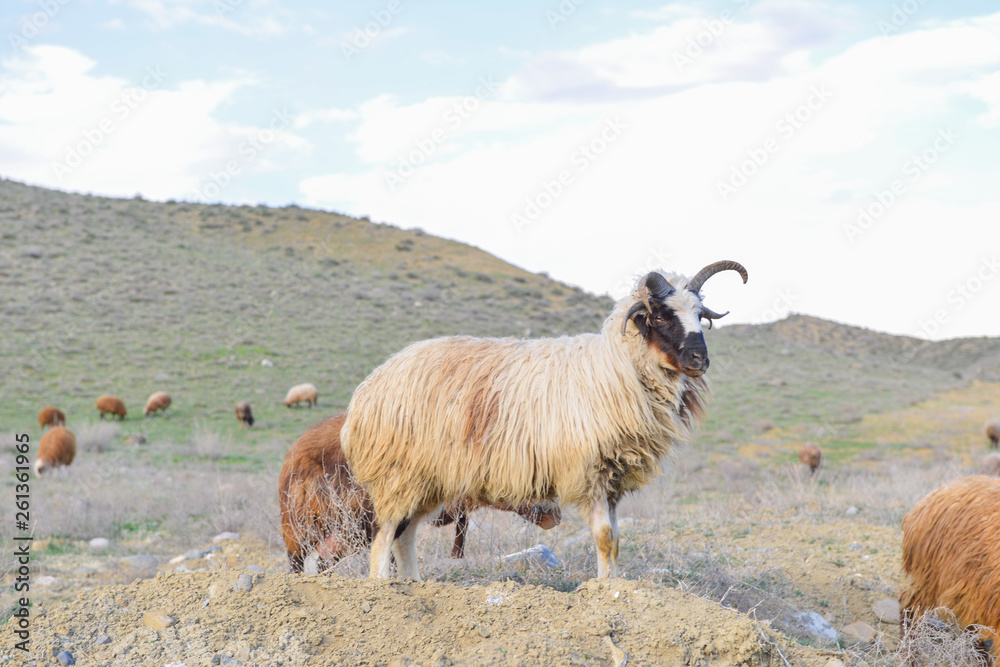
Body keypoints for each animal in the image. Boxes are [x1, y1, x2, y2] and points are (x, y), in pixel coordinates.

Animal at [341, 260, 747, 580]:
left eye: (700, 315)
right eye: (661, 315)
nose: (699, 359)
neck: (615, 369)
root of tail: (370, 386)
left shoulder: (614, 479)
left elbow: (616, 540)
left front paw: (616, 584)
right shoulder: (590, 472)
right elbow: (604, 538)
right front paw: (604, 589)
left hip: (428, 480)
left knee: (404, 535)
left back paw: (412, 584)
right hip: (400, 474)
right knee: (384, 537)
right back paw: (383, 588)